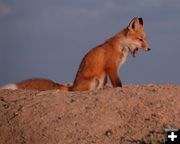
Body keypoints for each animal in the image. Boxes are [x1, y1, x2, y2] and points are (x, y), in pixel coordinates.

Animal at [0, 17, 149, 91]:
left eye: (145, 39)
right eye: (140, 39)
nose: (149, 49)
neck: (122, 47)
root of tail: (72, 86)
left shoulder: (113, 70)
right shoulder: (111, 67)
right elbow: (118, 84)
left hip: (102, 78)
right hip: (96, 78)